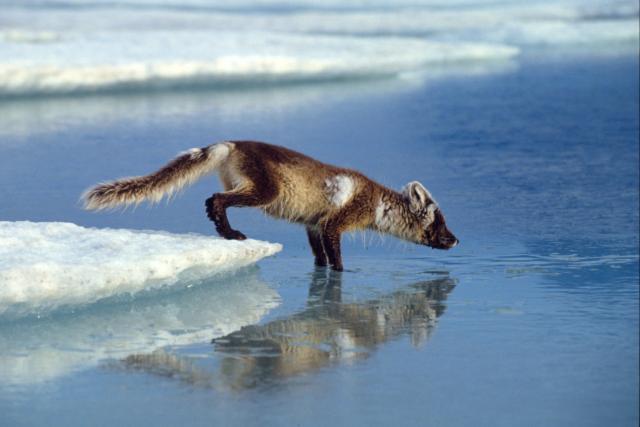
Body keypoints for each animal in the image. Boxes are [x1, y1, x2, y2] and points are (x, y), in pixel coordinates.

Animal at [83, 140, 458, 271]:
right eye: (439, 221)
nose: (456, 239)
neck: (378, 203)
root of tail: (230, 143)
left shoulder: (313, 225)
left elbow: (320, 257)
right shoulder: (336, 222)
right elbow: (336, 258)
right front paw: (343, 274)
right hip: (265, 190)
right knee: (215, 199)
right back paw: (230, 233)